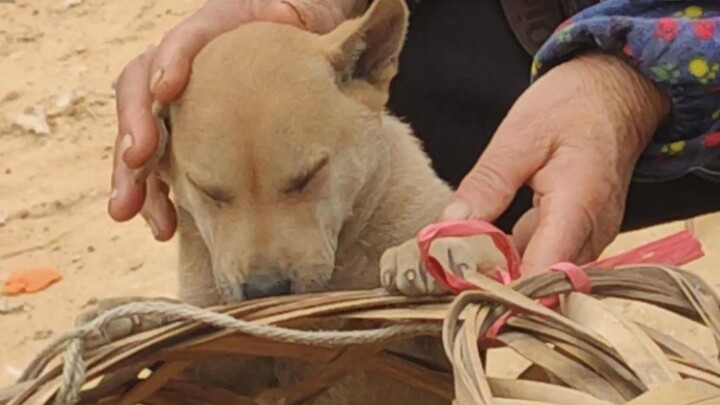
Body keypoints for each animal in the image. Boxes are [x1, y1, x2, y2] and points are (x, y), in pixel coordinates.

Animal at [88, 0, 506, 400]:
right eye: (207, 191)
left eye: (308, 176)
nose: (265, 290)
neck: (343, 260)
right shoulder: (232, 360)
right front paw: (126, 319)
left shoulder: (429, 346)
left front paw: (432, 249)